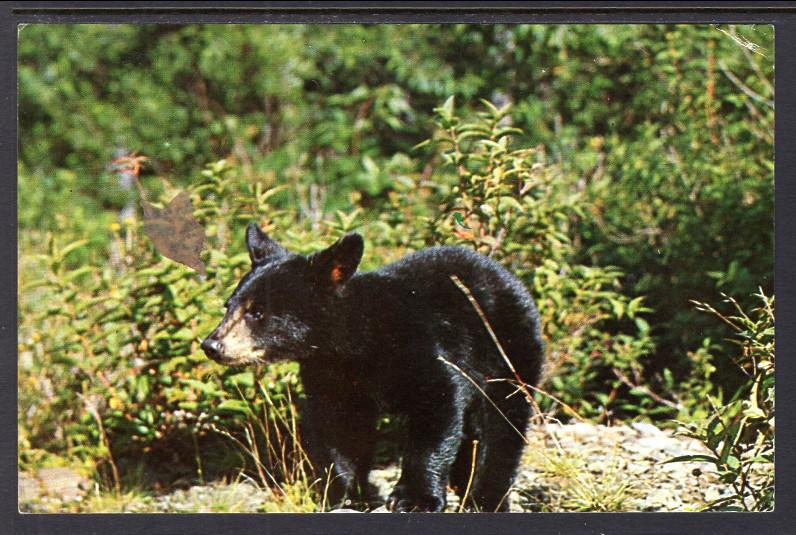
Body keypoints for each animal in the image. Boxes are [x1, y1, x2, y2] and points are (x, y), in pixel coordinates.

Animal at [202, 225, 544, 510]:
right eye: (229, 305)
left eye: (257, 311)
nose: (211, 345)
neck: (355, 342)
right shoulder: (330, 378)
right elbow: (339, 431)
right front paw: (347, 494)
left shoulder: (425, 351)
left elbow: (436, 410)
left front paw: (414, 499)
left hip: (507, 350)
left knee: (503, 422)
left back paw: (487, 496)